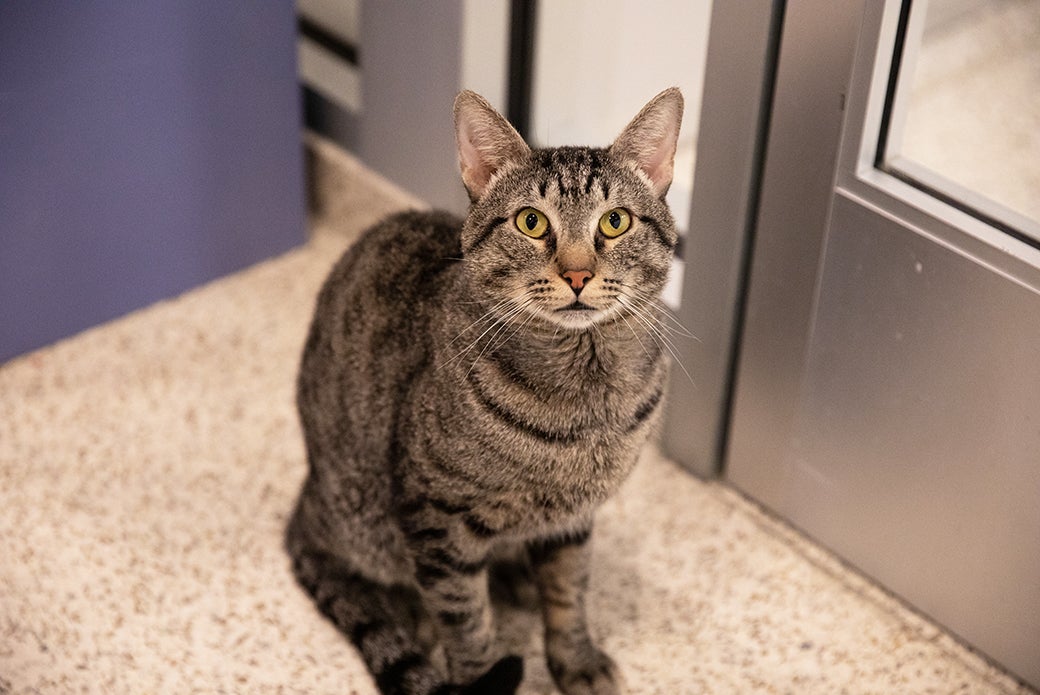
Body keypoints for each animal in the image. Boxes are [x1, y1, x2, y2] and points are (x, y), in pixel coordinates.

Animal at [286, 87, 683, 695]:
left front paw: (575, 659)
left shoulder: (573, 519)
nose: (577, 274)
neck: (584, 394)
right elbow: (466, 619)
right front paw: (480, 674)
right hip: (365, 519)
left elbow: (569, 591)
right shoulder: (436, 518)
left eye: (615, 222)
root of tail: (304, 503)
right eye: (531, 222)